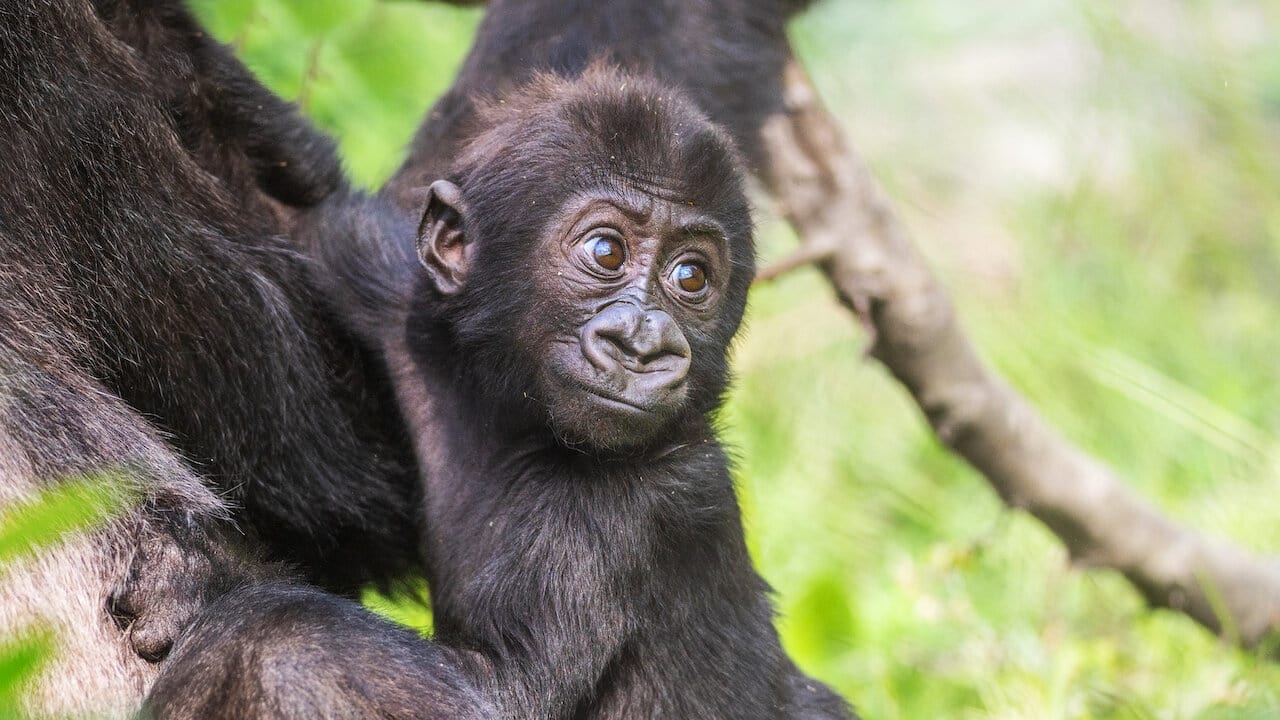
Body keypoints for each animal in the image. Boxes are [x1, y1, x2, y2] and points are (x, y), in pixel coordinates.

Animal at [145, 70, 855, 717]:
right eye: (606, 250)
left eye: (691, 277)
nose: (644, 342)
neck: (512, 419)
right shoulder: (393, 290)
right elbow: (301, 206)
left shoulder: (635, 506)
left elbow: (497, 693)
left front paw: (213, 583)